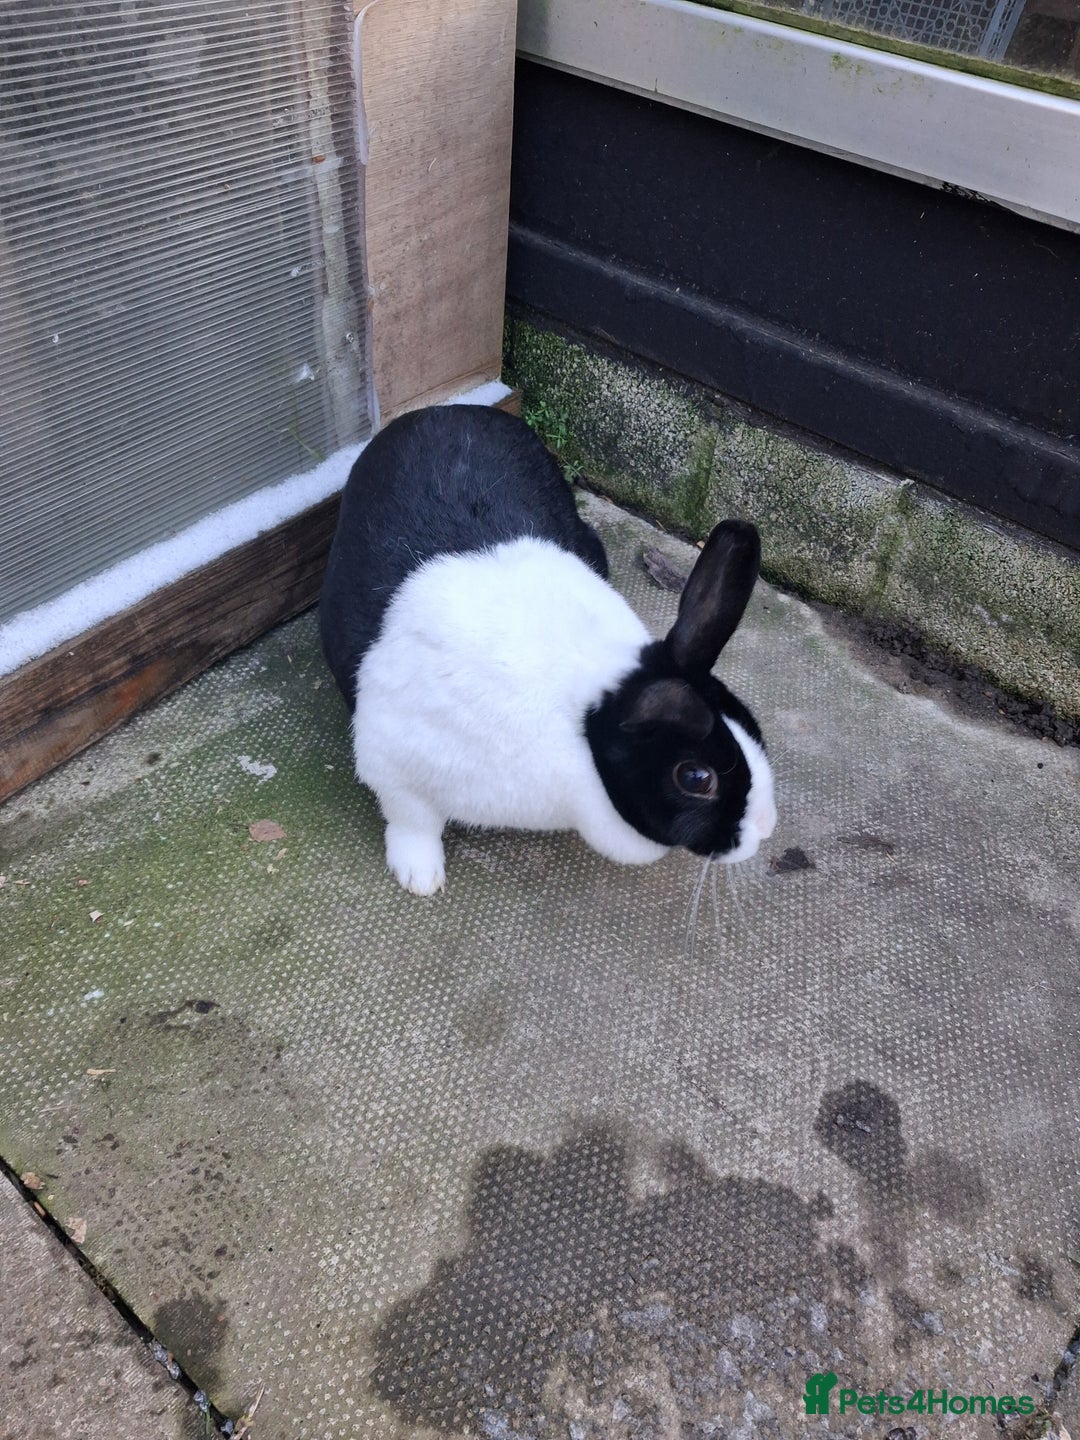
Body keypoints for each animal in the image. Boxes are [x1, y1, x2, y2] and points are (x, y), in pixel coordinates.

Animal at [319, 403, 776, 895]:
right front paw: (421, 877)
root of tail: (445, 408)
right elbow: (412, 822)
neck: (583, 728)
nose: (767, 825)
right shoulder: (393, 762)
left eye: (753, 726)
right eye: (696, 778)